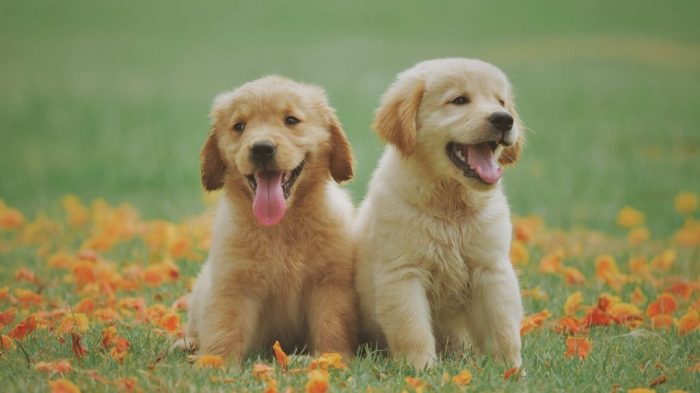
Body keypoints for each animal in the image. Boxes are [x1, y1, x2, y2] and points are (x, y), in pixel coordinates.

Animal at [356, 57, 524, 368]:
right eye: (459, 100)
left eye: (501, 101)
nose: (504, 119)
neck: (451, 205)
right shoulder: (403, 273)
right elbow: (412, 328)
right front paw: (421, 369)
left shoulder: (491, 269)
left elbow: (503, 326)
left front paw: (511, 369)